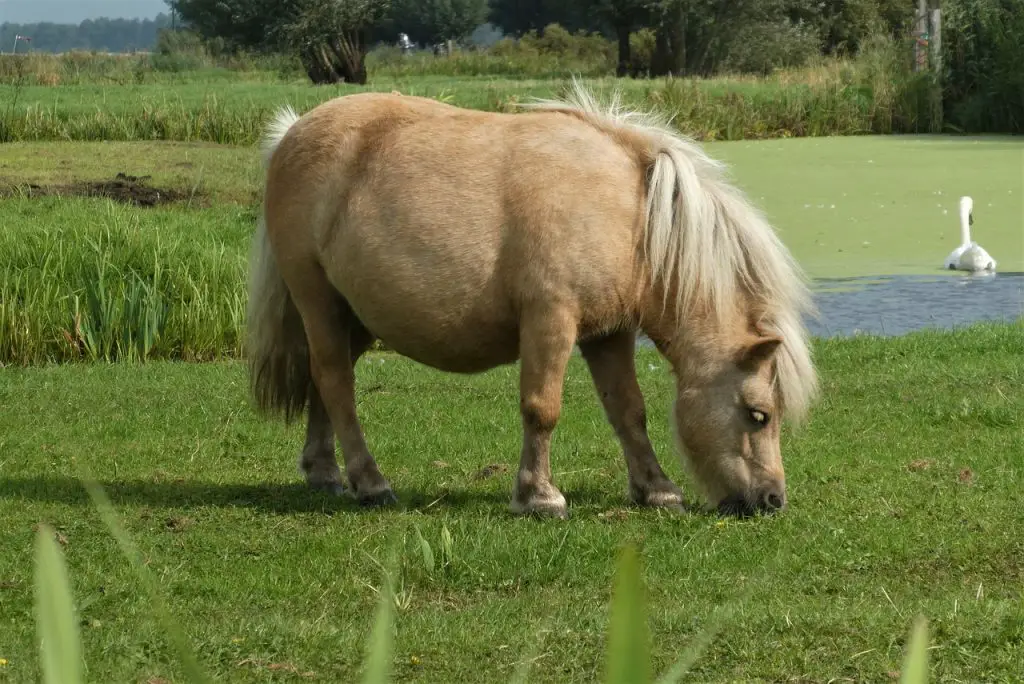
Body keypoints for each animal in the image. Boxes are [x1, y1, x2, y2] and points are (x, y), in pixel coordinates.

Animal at [245, 80, 815, 518]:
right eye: (759, 414)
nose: (772, 500)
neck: (628, 216)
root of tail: (291, 133)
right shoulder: (550, 320)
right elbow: (542, 408)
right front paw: (539, 496)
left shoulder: (609, 334)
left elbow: (628, 411)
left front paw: (657, 490)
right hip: (317, 300)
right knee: (335, 381)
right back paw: (370, 482)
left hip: (356, 316)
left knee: (323, 379)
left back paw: (324, 472)